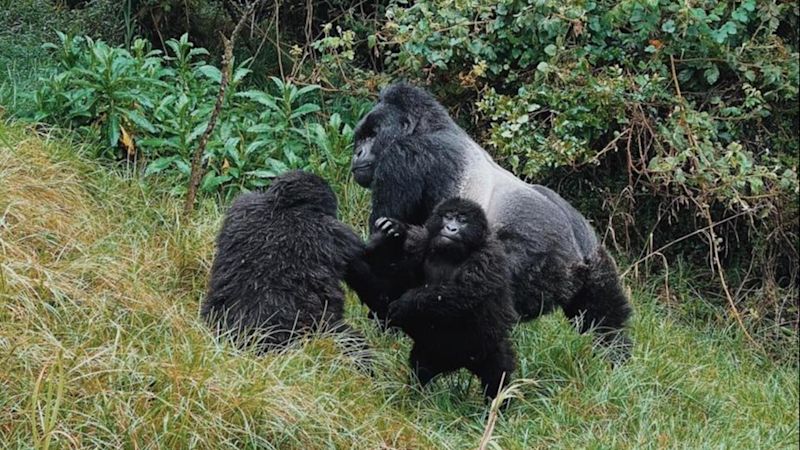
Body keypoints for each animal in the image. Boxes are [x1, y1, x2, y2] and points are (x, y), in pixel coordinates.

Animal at [354, 83, 636, 358]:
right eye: (360, 137)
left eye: (371, 135)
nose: (356, 152)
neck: (428, 126)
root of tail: (576, 255)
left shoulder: (401, 159)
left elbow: (387, 250)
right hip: (597, 260)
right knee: (605, 320)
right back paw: (614, 358)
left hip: (530, 263)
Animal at [368, 199, 520, 400]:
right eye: (448, 216)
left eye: (462, 220)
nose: (451, 228)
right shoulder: (420, 241)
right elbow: (392, 272)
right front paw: (394, 232)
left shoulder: (487, 257)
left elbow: (461, 293)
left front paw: (406, 303)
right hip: (430, 351)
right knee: (421, 369)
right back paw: (417, 397)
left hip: (486, 348)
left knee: (497, 374)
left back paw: (498, 405)